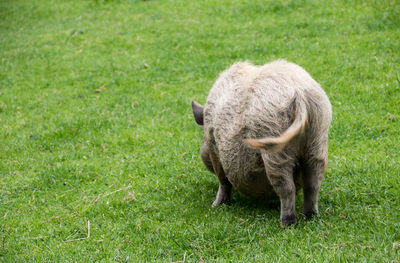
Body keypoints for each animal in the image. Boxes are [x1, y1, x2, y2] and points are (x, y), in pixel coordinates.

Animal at [191, 60, 332, 227]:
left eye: (203, 138)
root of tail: (299, 96)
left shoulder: (214, 148)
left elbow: (223, 180)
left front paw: (215, 205)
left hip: (273, 142)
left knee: (287, 187)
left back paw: (286, 223)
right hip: (318, 137)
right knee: (313, 182)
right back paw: (310, 217)